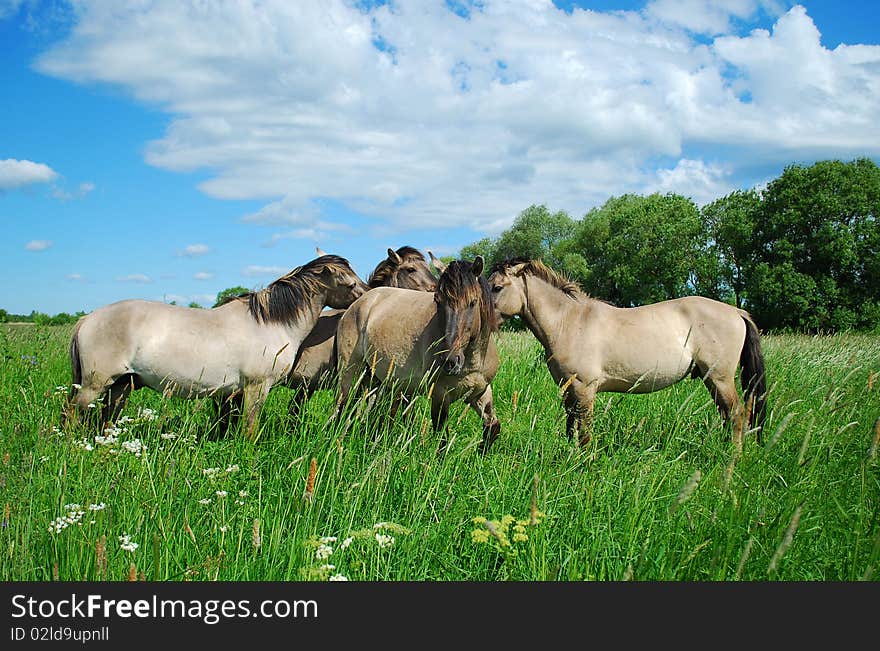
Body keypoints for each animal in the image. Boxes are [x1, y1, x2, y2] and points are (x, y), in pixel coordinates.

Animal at [65, 252, 368, 440]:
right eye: (350, 283)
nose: (368, 296)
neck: (271, 323)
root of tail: (87, 320)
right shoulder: (257, 387)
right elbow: (249, 429)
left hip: (121, 386)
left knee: (107, 419)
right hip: (95, 385)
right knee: (72, 415)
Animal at [336, 255, 502, 454]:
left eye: (473, 302)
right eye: (438, 301)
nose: (450, 361)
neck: (472, 362)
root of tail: (361, 302)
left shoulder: (480, 392)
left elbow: (493, 428)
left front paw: (478, 456)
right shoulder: (440, 395)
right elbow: (442, 439)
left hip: (378, 379)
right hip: (350, 372)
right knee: (343, 405)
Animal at [484, 260, 768, 448]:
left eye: (497, 287)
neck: (569, 322)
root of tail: (736, 312)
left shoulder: (585, 389)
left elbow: (584, 432)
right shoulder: (569, 390)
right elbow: (571, 427)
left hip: (720, 378)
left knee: (737, 414)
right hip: (712, 380)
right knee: (727, 415)